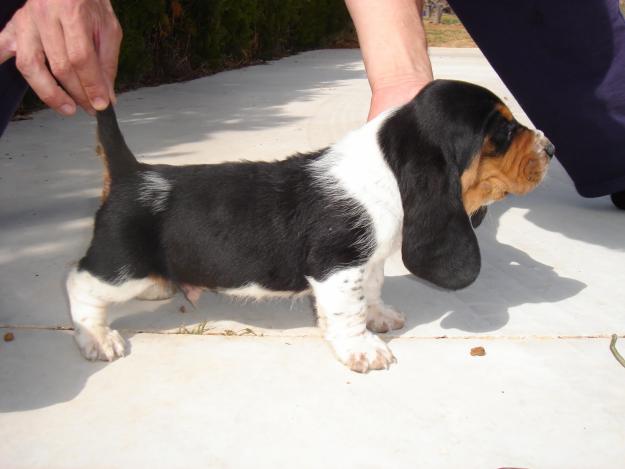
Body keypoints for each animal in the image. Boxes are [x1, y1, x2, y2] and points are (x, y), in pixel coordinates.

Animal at [66, 81, 552, 372]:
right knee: (79, 284)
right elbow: (347, 312)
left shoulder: (367, 262)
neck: (387, 169)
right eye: (501, 133)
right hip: (120, 268)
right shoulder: (338, 267)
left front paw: (379, 317)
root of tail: (131, 173)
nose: (550, 148)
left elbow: (372, 291)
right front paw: (363, 349)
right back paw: (97, 337)